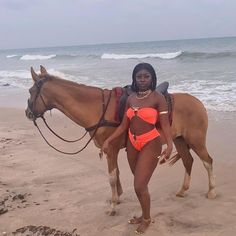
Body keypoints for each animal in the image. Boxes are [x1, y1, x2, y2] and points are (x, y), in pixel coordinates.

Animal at [25, 66, 216, 216]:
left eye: (31, 91)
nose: (28, 113)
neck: (97, 108)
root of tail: (199, 102)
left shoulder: (111, 149)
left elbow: (111, 177)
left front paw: (113, 206)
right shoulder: (111, 150)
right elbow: (115, 174)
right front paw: (116, 198)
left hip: (196, 140)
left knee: (207, 161)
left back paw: (212, 191)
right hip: (179, 140)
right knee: (188, 161)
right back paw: (183, 191)